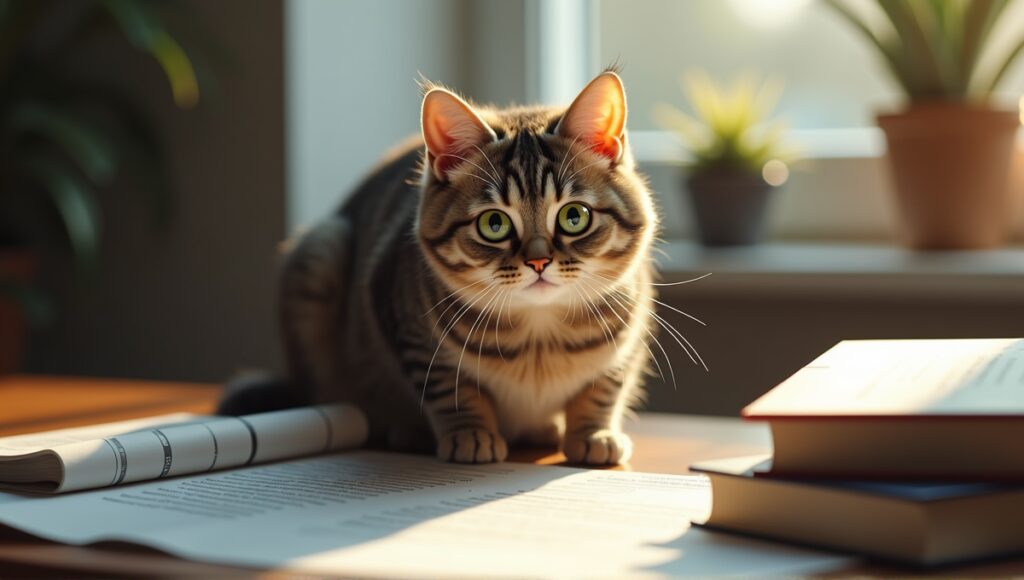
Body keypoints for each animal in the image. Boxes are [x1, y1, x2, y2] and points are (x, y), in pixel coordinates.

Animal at [220, 70, 659, 465]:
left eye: (574, 216)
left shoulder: (632, 336)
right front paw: (470, 434)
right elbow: (451, 390)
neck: (539, 340)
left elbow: (604, 388)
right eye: (494, 224)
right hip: (320, 253)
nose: (538, 261)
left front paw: (594, 433)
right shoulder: (408, 330)